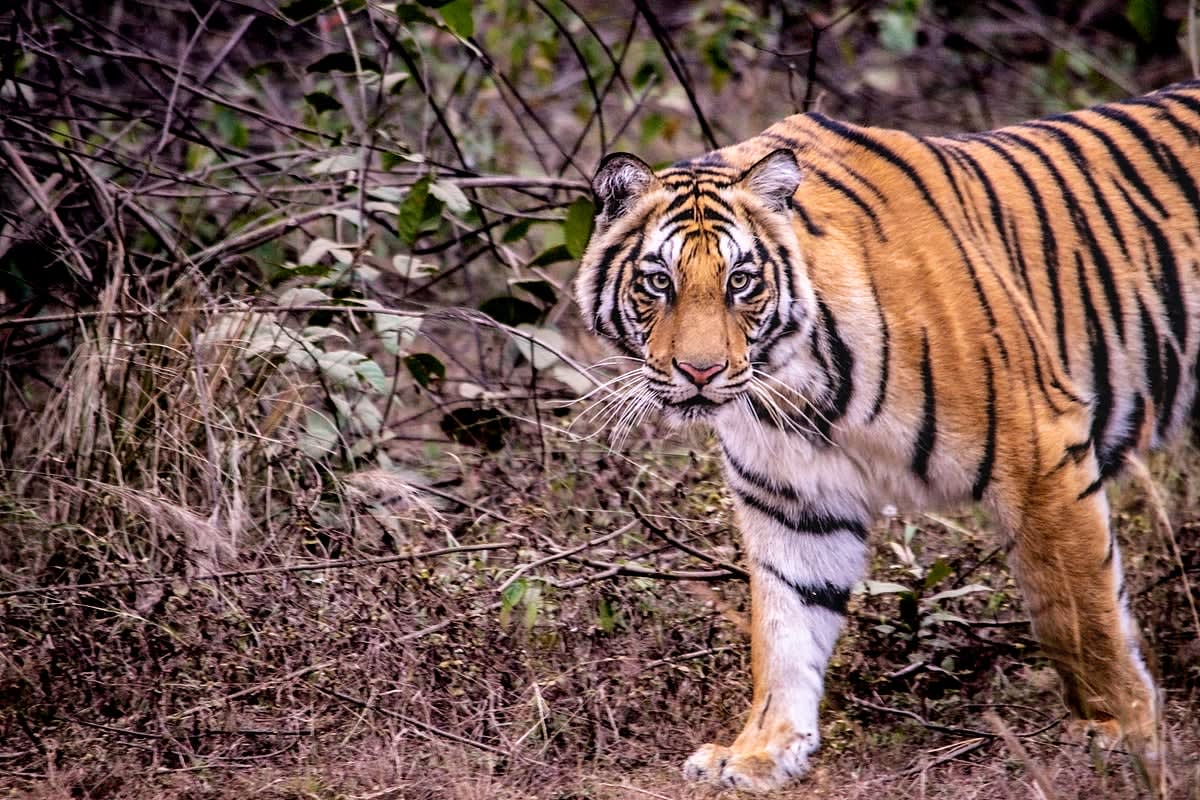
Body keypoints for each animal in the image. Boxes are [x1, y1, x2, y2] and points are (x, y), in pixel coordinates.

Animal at [574, 79, 1200, 793]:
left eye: (741, 281)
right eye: (659, 281)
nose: (700, 371)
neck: (797, 379)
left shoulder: (1041, 446)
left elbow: (1077, 611)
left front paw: (1124, 731)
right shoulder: (793, 500)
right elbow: (785, 626)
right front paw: (760, 751)